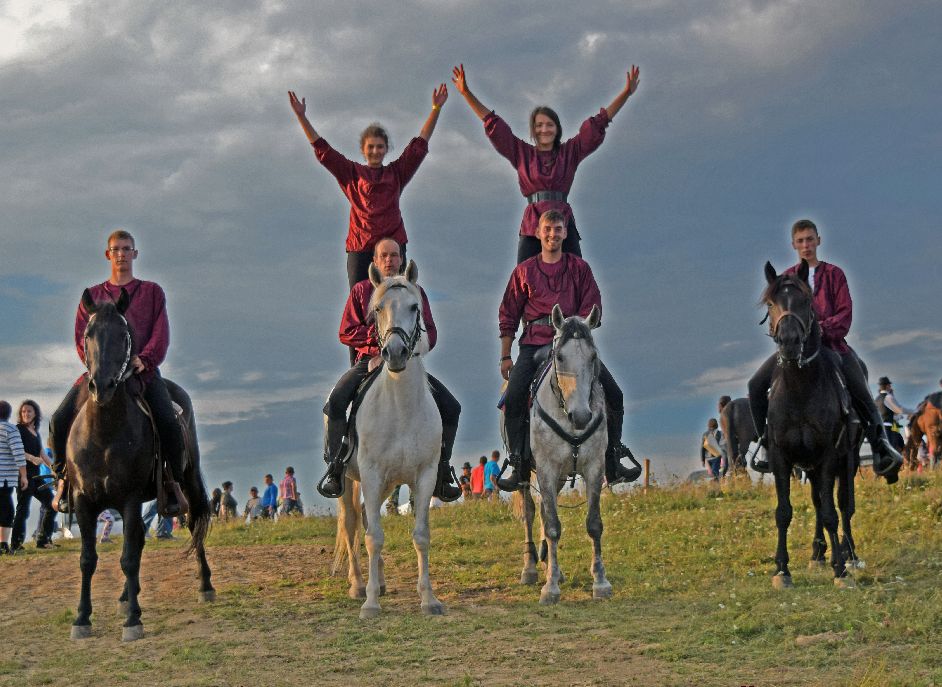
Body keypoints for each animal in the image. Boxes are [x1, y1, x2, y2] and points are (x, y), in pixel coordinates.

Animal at [67, 288, 216, 640]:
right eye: (88, 333)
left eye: (124, 335)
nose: (102, 386)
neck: (104, 434)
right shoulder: (83, 501)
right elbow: (88, 559)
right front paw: (82, 618)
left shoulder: (131, 499)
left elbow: (129, 559)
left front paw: (134, 620)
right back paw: (125, 596)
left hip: (187, 481)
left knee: (194, 525)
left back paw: (205, 586)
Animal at [334, 262, 448, 620]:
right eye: (377, 310)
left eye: (414, 307)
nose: (395, 353)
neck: (400, 408)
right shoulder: (370, 474)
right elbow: (373, 538)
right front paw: (370, 603)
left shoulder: (425, 476)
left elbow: (421, 536)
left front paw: (429, 599)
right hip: (349, 480)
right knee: (352, 523)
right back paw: (359, 584)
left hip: (384, 484)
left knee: (365, 519)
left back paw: (380, 580)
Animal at [512, 304, 616, 604]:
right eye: (559, 357)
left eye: (593, 356)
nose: (581, 416)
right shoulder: (546, 469)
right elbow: (552, 526)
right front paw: (550, 588)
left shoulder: (594, 468)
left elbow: (594, 524)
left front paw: (600, 582)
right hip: (527, 475)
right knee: (531, 512)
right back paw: (531, 569)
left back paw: (554, 570)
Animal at [760, 264, 864, 592]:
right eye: (771, 304)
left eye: (806, 302)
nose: (790, 342)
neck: (800, 388)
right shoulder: (780, 457)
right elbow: (784, 512)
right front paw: (782, 570)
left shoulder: (830, 455)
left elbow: (832, 513)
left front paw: (840, 569)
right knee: (820, 501)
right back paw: (818, 553)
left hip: (847, 460)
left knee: (843, 505)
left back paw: (849, 554)